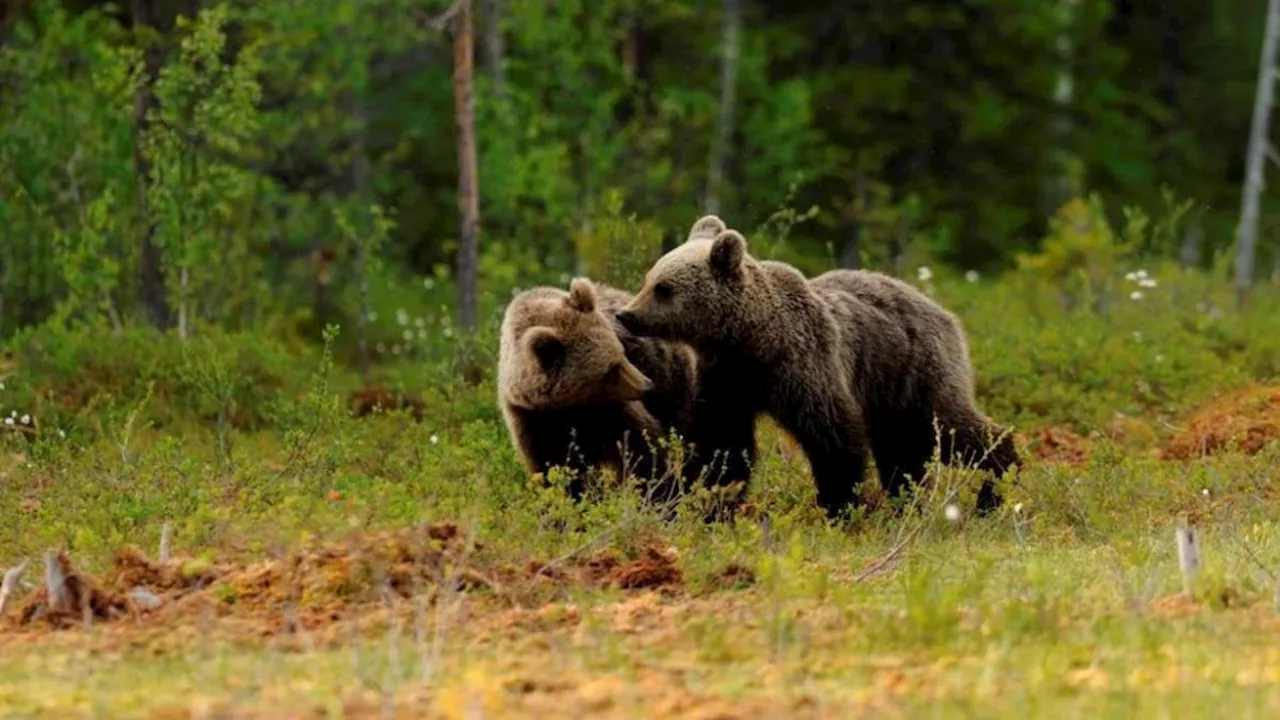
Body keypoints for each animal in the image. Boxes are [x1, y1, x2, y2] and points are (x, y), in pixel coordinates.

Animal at [614, 212, 1024, 515]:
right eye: (649, 279)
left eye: (664, 289)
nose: (626, 314)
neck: (751, 339)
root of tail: (944, 312)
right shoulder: (726, 380)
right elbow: (724, 443)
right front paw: (704, 497)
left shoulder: (804, 365)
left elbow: (832, 435)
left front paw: (838, 505)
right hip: (891, 393)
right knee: (902, 450)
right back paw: (907, 500)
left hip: (917, 371)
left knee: (951, 427)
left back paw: (997, 485)